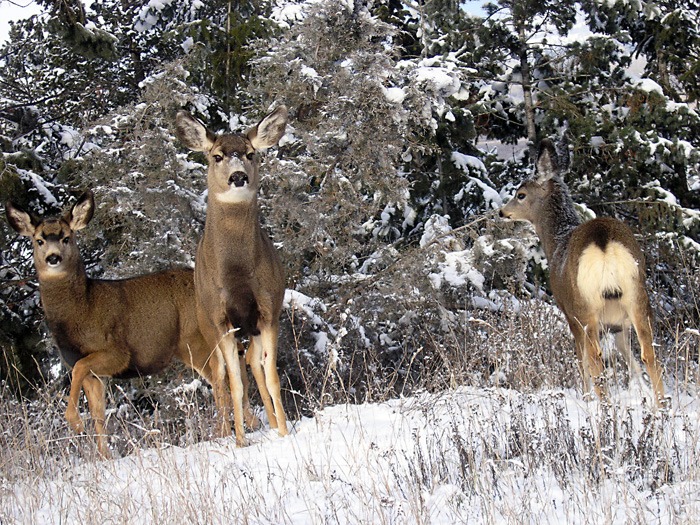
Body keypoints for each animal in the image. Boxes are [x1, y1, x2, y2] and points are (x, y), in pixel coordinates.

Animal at [4, 190, 235, 456]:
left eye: (66, 237)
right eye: (39, 240)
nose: (53, 258)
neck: (82, 309)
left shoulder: (116, 352)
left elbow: (79, 370)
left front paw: (74, 422)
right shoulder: (94, 374)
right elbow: (98, 414)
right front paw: (102, 456)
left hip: (196, 339)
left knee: (219, 376)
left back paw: (223, 432)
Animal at [178, 106, 290, 446]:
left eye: (251, 153)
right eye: (216, 156)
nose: (238, 176)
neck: (237, 274)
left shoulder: (268, 310)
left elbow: (271, 375)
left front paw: (284, 432)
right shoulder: (220, 320)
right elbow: (235, 382)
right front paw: (240, 442)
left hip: (252, 327)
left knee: (253, 361)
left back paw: (270, 422)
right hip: (206, 328)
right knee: (221, 377)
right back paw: (228, 431)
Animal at [498, 141, 668, 408]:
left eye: (520, 194)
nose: (502, 212)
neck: (556, 242)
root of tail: (603, 241)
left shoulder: (569, 313)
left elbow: (582, 363)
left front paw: (585, 397)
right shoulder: (618, 324)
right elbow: (631, 361)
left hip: (586, 306)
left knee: (595, 359)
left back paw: (603, 408)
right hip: (637, 296)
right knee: (649, 353)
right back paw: (662, 405)